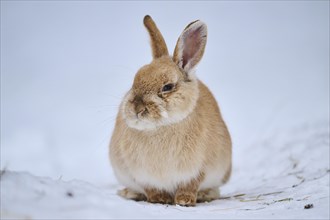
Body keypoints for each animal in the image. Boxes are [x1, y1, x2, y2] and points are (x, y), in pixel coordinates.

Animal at [109, 15, 232, 206]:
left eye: (167, 87)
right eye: (134, 81)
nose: (137, 109)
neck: (161, 127)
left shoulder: (198, 170)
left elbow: (190, 185)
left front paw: (184, 200)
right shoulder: (139, 175)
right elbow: (149, 187)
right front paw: (159, 199)